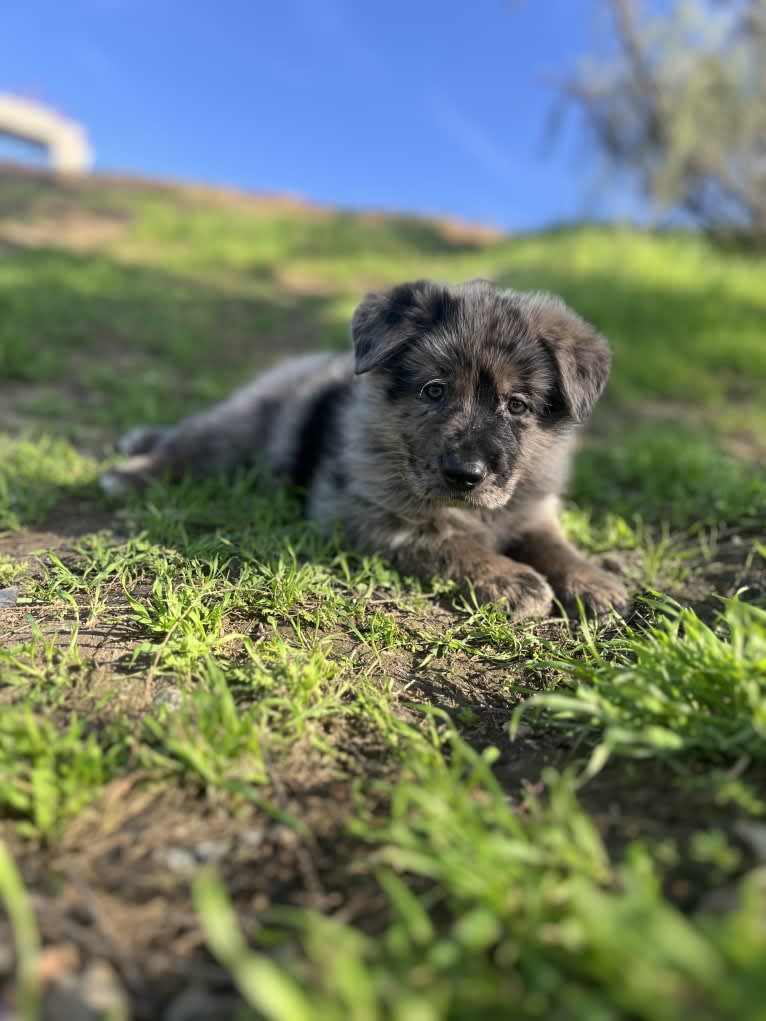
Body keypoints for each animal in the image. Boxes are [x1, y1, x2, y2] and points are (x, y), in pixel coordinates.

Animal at [102, 275, 629, 616]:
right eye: (434, 390)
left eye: (517, 405)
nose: (465, 475)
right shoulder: (368, 515)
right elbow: (447, 542)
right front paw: (509, 579)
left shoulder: (534, 508)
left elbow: (553, 544)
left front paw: (592, 579)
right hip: (238, 428)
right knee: (187, 446)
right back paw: (130, 471)